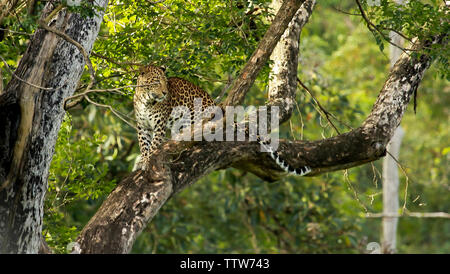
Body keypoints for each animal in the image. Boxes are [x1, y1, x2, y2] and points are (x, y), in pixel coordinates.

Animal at [132, 64, 312, 176]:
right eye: (156, 82)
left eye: (165, 83)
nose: (164, 93)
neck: (146, 100)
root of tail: (214, 104)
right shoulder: (142, 126)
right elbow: (144, 145)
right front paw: (142, 160)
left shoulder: (159, 125)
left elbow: (153, 146)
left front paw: (147, 161)